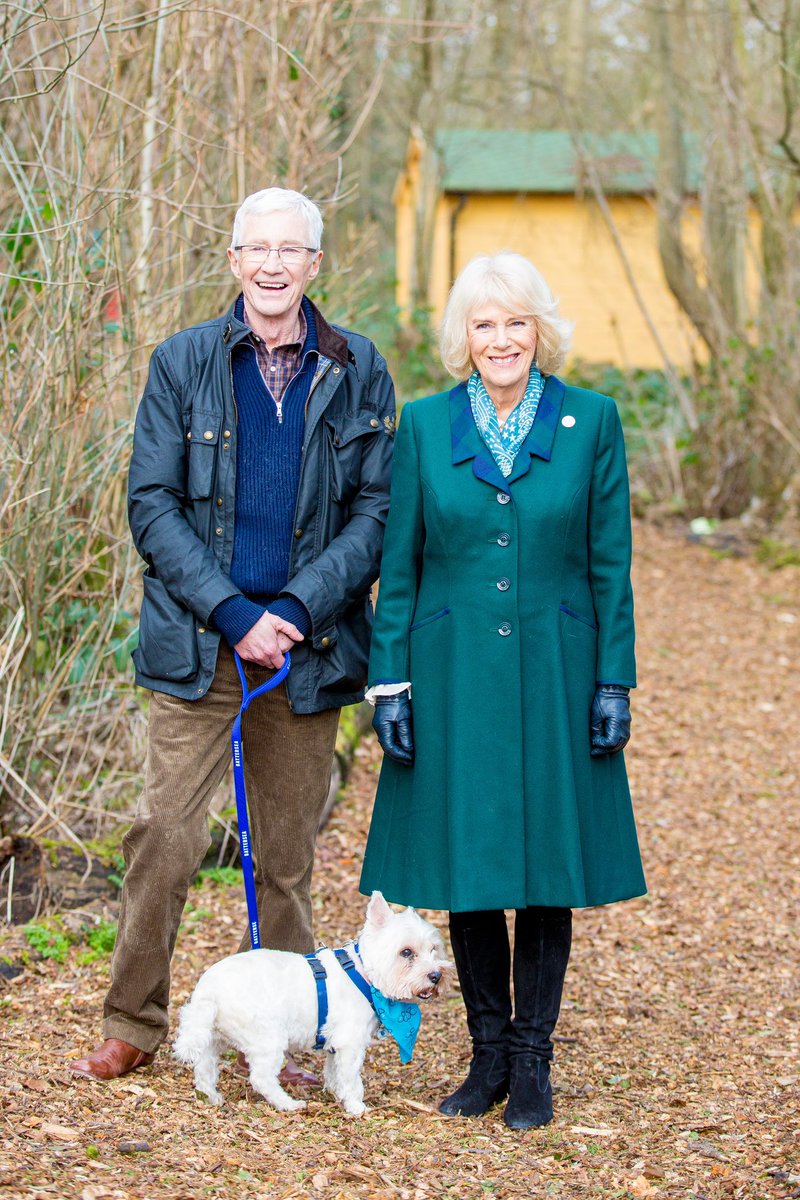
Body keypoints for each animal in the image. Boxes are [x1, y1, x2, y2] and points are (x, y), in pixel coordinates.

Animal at [173, 892, 450, 1113]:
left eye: (434, 949)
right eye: (406, 952)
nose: (436, 976)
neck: (363, 973)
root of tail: (209, 989)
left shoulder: (335, 1043)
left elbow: (333, 1071)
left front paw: (336, 1093)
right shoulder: (350, 1043)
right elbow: (351, 1078)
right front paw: (356, 1107)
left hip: (213, 1038)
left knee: (204, 1069)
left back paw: (210, 1097)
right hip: (267, 1038)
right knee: (261, 1078)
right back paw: (288, 1104)